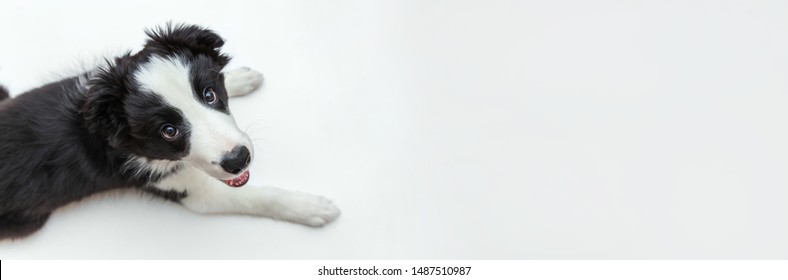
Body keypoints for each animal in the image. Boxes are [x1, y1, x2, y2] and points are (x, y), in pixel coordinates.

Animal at [0, 23, 338, 240]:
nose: (238, 160)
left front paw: (238, 77)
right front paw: (309, 207)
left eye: (210, 95)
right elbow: (254, 197)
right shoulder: (190, 191)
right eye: (169, 130)